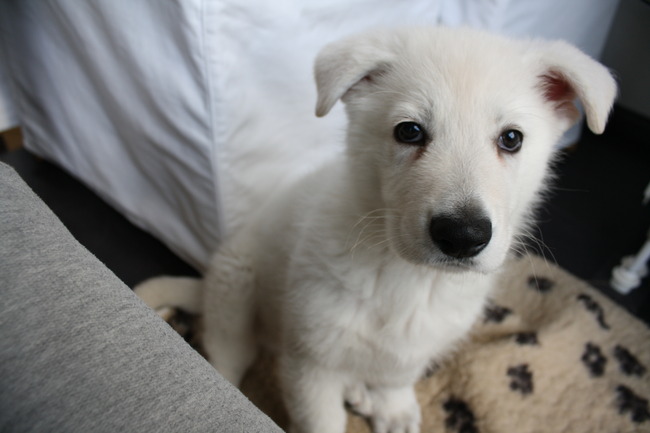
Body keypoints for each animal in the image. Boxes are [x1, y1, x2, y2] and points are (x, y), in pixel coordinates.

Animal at [136, 27, 616, 433]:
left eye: (511, 139)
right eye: (410, 131)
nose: (462, 236)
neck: (410, 277)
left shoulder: (419, 341)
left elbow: (397, 373)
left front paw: (392, 406)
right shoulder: (310, 360)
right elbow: (322, 421)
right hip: (236, 288)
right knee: (225, 353)